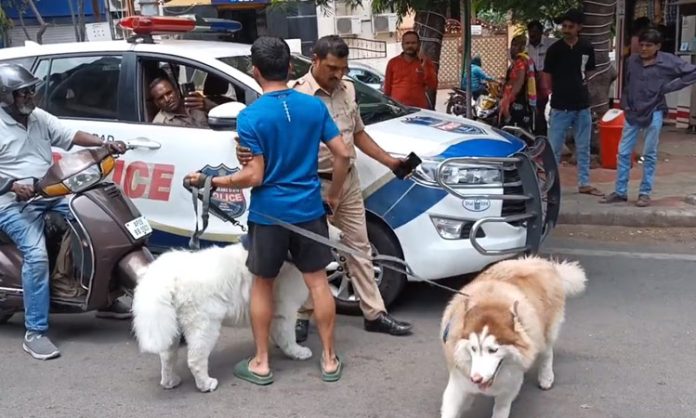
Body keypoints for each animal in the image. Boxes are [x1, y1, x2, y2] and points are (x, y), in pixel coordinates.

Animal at [131, 225, 342, 392]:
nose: (341, 235)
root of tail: (167, 275)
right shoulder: (286, 310)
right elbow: (288, 337)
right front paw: (297, 352)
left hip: (172, 327)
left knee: (167, 356)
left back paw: (170, 381)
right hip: (204, 326)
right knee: (195, 359)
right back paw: (206, 384)